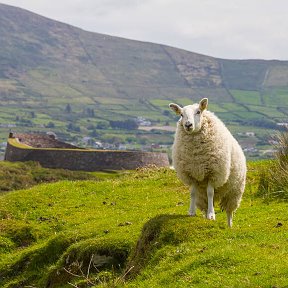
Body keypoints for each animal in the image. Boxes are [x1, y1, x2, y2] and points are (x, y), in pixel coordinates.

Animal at [170, 98, 246, 226]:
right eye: (181, 114)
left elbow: (210, 192)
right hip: (202, 197)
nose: (188, 125)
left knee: (229, 212)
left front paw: (212, 215)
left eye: (198, 112)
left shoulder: (213, 174)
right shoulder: (191, 174)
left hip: (234, 191)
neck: (196, 154)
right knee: (205, 202)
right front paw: (191, 212)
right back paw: (205, 216)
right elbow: (192, 193)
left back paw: (229, 226)